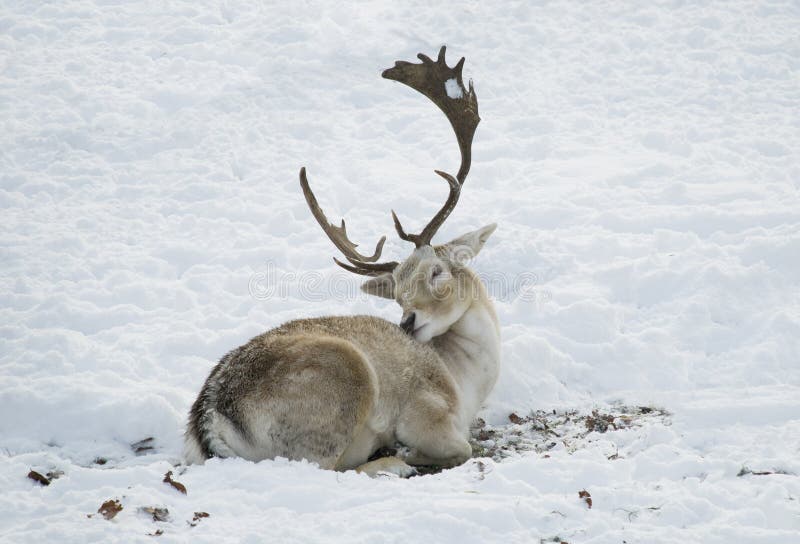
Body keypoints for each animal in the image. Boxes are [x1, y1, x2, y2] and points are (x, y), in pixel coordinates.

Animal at [185, 47, 500, 476]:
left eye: (436, 271)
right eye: (398, 294)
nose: (407, 322)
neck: (468, 382)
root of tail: (212, 420)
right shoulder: (425, 408)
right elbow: (461, 448)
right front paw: (406, 453)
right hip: (343, 379)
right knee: (322, 465)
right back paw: (390, 461)